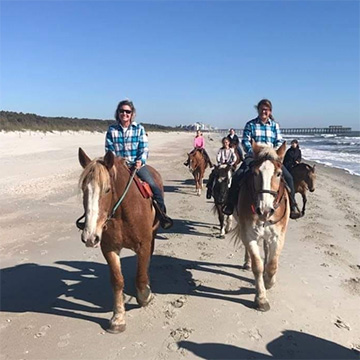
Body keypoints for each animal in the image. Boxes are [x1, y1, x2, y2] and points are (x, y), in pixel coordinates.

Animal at [77, 148, 162, 334]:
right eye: (83, 190)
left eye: (107, 190)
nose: (90, 237)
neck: (121, 214)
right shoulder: (109, 248)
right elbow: (117, 281)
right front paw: (118, 318)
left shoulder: (144, 245)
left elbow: (140, 274)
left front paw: (145, 295)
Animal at [235, 142, 292, 310]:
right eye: (255, 173)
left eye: (279, 174)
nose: (265, 210)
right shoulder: (249, 234)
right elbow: (257, 265)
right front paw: (261, 298)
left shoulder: (277, 236)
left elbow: (272, 264)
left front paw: (268, 282)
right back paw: (247, 263)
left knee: (267, 252)